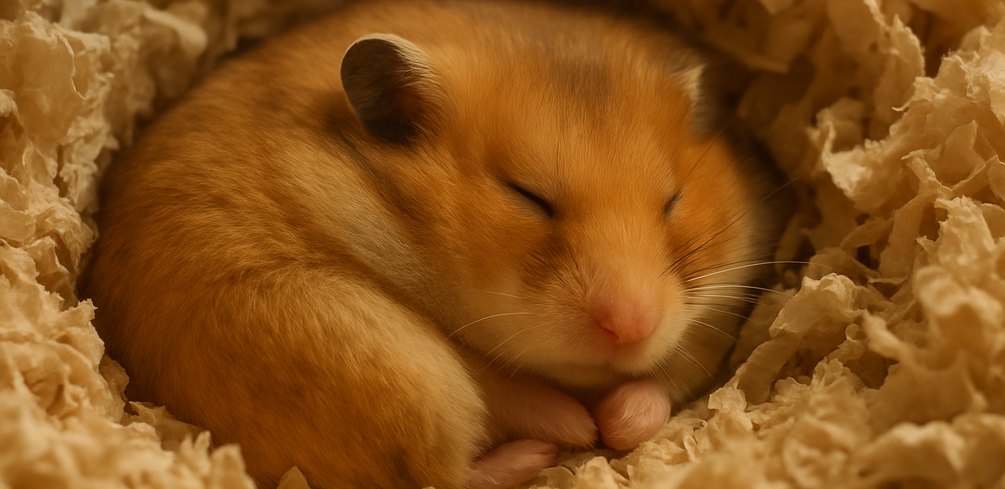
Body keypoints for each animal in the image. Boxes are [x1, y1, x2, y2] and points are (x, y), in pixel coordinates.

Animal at [82, 0, 786, 487]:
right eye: (526, 196)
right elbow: (500, 381)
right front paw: (584, 426)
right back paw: (541, 451)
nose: (631, 327)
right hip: (391, 368)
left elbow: (666, 376)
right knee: (439, 471)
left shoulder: (715, 311)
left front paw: (616, 422)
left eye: (672, 200)